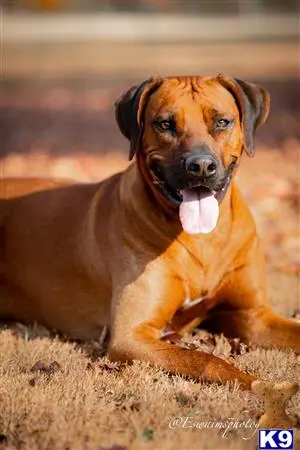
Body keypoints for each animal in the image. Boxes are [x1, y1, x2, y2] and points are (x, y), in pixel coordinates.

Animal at [0, 74, 300, 390]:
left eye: (221, 122)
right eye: (165, 124)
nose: (201, 166)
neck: (202, 238)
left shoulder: (252, 316)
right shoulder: (131, 336)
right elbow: (205, 360)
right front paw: (260, 385)